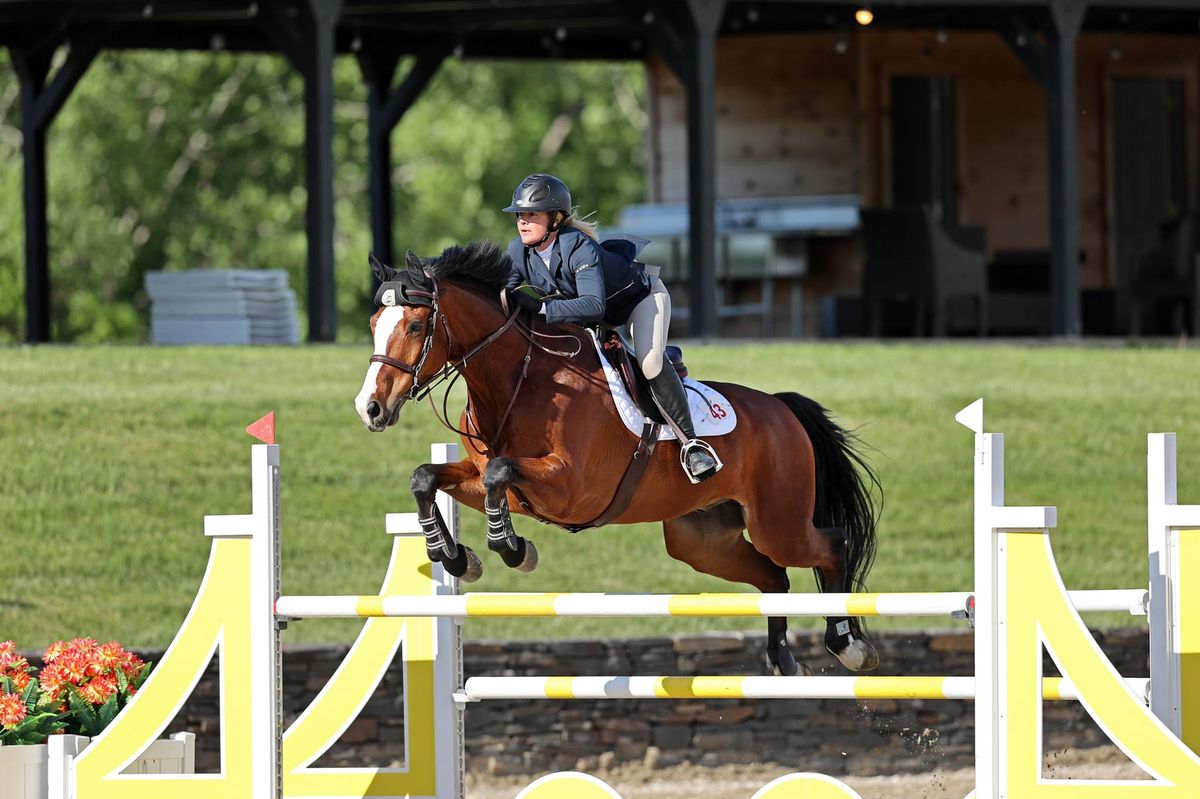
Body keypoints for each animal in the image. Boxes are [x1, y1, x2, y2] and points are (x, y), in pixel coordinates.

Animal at [355, 241, 883, 671]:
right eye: (373, 325)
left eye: (417, 324)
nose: (370, 408)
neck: (518, 379)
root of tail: (780, 407)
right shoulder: (484, 473)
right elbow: (427, 478)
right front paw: (457, 558)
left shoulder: (570, 488)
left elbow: (499, 476)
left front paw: (513, 550)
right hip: (702, 540)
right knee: (773, 577)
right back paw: (780, 660)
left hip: (779, 521)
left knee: (829, 546)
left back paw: (849, 646)